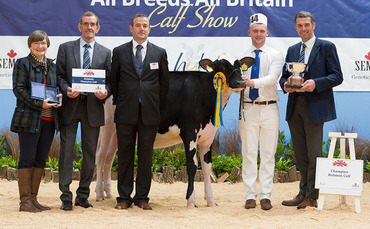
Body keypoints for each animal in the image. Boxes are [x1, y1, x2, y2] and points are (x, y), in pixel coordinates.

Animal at [94, 56, 254, 207]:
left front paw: (211, 201)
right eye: (222, 66)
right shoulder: (189, 133)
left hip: (117, 131)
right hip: (107, 125)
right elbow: (192, 166)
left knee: (109, 158)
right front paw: (191, 201)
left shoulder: (208, 137)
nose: (241, 82)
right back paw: (99, 194)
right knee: (101, 156)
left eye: (239, 66)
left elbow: (207, 168)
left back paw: (108, 193)